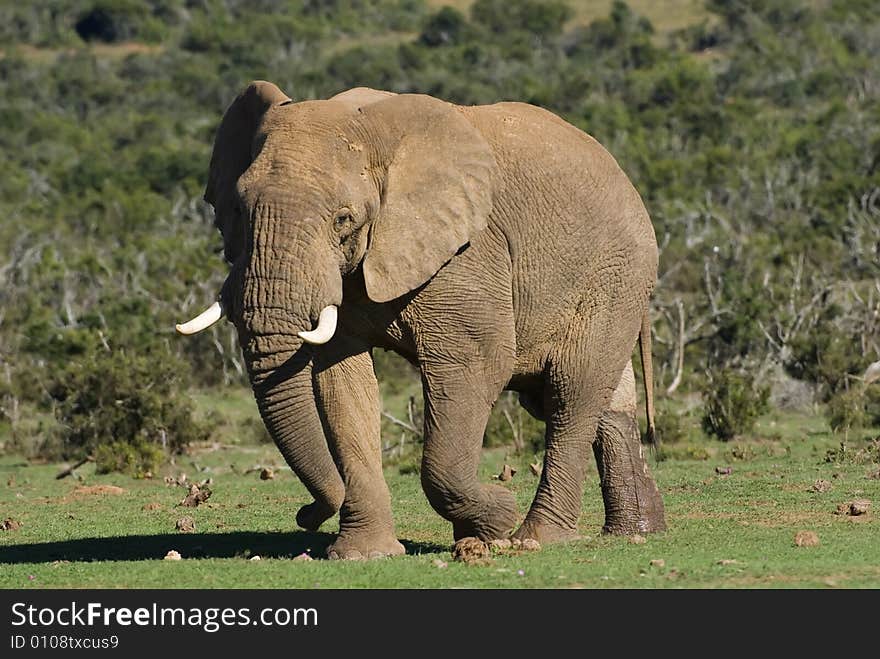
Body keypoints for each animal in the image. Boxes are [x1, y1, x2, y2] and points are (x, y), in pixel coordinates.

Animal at [175, 80, 664, 560]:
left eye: (343, 219)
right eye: (238, 210)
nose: (305, 513)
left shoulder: (469, 253)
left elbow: (477, 365)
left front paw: (499, 517)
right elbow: (341, 383)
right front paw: (364, 554)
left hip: (615, 274)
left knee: (570, 393)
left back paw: (536, 538)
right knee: (598, 401)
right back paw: (635, 532)